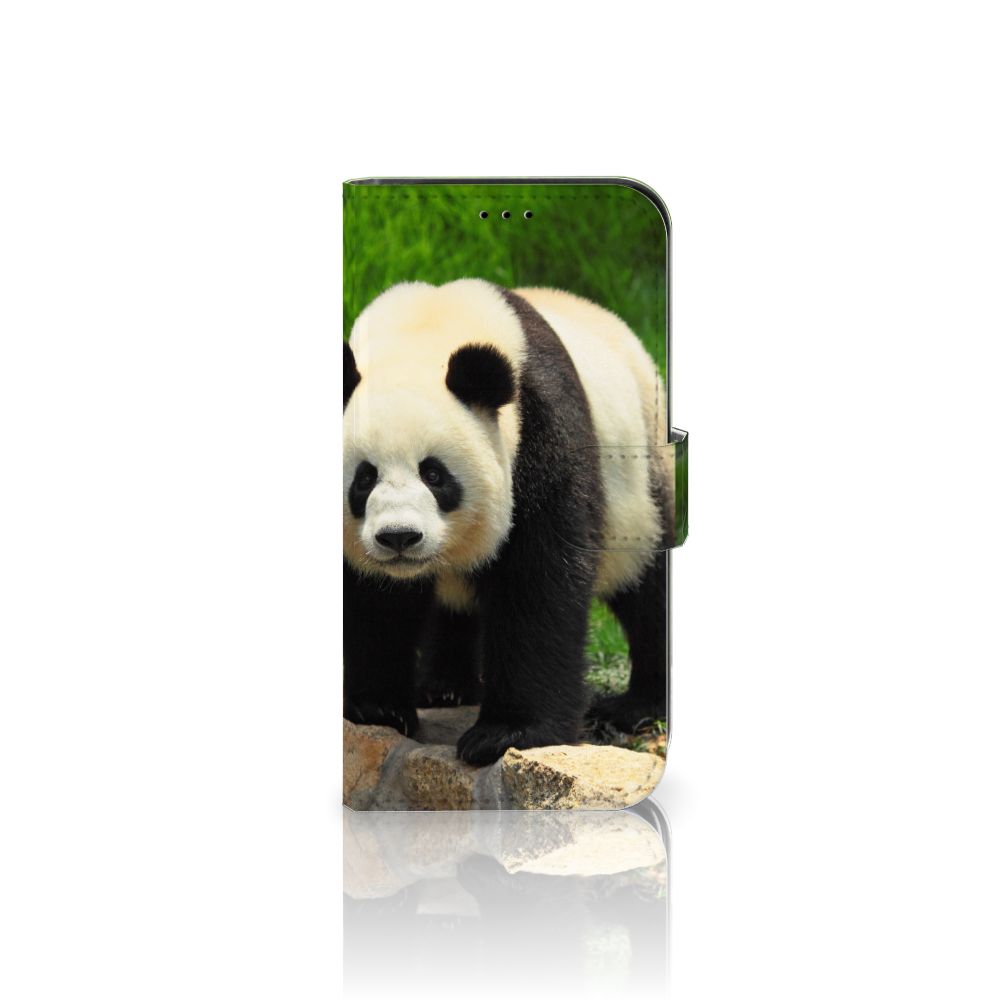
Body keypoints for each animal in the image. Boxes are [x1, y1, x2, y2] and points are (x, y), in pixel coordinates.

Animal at [343, 278, 672, 765]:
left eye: (434, 474)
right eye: (364, 478)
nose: (399, 538)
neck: (424, 332)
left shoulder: (540, 429)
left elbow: (538, 581)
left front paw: (506, 734)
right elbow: (373, 600)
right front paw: (377, 707)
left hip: (641, 478)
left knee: (647, 585)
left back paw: (638, 706)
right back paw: (444, 687)